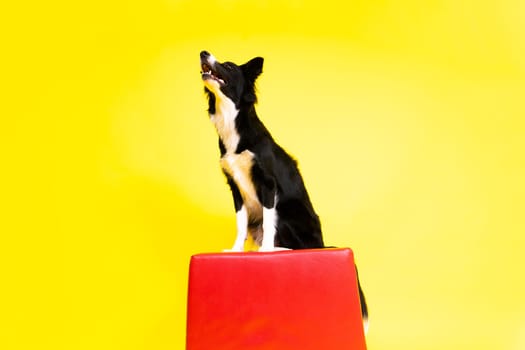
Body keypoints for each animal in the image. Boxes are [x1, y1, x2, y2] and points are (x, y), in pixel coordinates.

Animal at [199, 50, 366, 328]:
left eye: (229, 66)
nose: (203, 53)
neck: (232, 121)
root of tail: (321, 244)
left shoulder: (268, 183)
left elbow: (269, 222)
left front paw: (266, 251)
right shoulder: (234, 186)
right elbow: (241, 223)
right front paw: (236, 251)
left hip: (288, 214)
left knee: (295, 246)